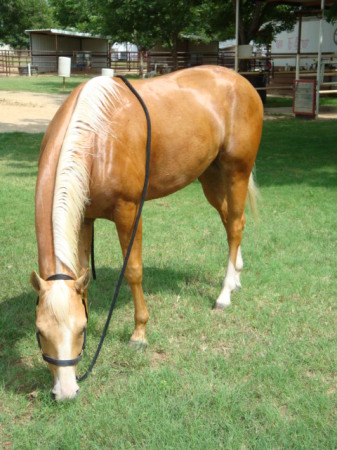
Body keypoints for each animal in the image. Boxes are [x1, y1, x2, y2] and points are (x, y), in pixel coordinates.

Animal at [30, 64, 262, 400]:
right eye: (39, 331)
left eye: (80, 330)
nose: (66, 391)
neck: (97, 137)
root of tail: (243, 81)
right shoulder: (85, 218)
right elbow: (83, 270)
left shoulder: (128, 212)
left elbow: (133, 271)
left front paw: (139, 333)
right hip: (210, 174)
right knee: (230, 220)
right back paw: (238, 276)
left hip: (237, 171)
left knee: (234, 225)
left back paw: (225, 293)